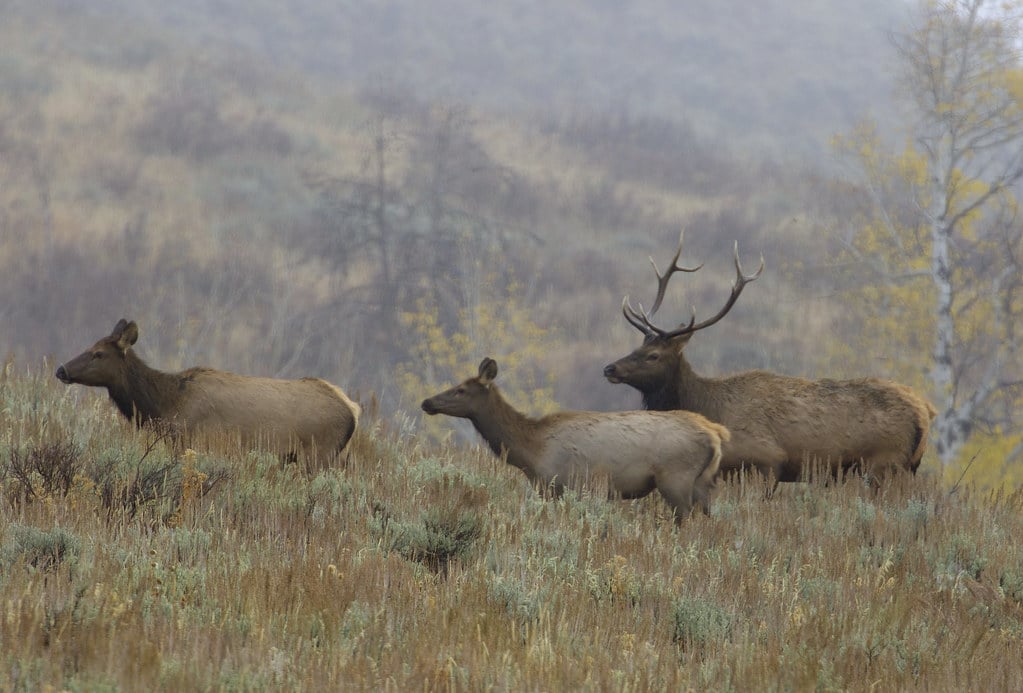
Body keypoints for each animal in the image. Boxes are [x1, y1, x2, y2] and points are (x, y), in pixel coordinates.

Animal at [55, 318, 361, 465]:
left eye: (98, 353)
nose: (61, 369)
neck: (165, 405)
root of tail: (353, 410)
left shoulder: (190, 441)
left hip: (319, 454)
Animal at [421, 357, 730, 521]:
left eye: (461, 389)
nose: (427, 402)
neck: (531, 450)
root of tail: (715, 433)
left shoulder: (565, 485)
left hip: (676, 478)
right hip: (701, 482)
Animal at [603, 230, 938, 484]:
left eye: (653, 355)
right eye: (637, 346)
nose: (609, 368)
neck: (709, 406)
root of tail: (925, 410)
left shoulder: (766, 460)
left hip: (885, 463)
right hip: (905, 466)